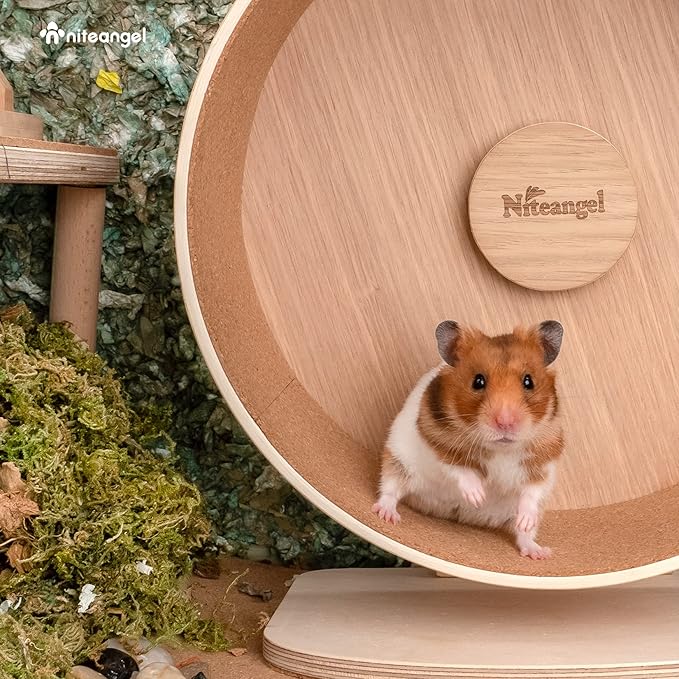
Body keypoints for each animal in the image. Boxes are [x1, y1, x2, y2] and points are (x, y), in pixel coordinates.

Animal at [372, 320, 564, 560]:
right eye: (478, 381)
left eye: (528, 381)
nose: (505, 422)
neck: (500, 449)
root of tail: (463, 517)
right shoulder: (437, 443)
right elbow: (460, 470)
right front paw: (478, 497)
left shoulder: (544, 462)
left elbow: (532, 490)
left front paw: (525, 519)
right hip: (397, 461)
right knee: (390, 489)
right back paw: (386, 515)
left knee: (523, 535)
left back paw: (538, 552)